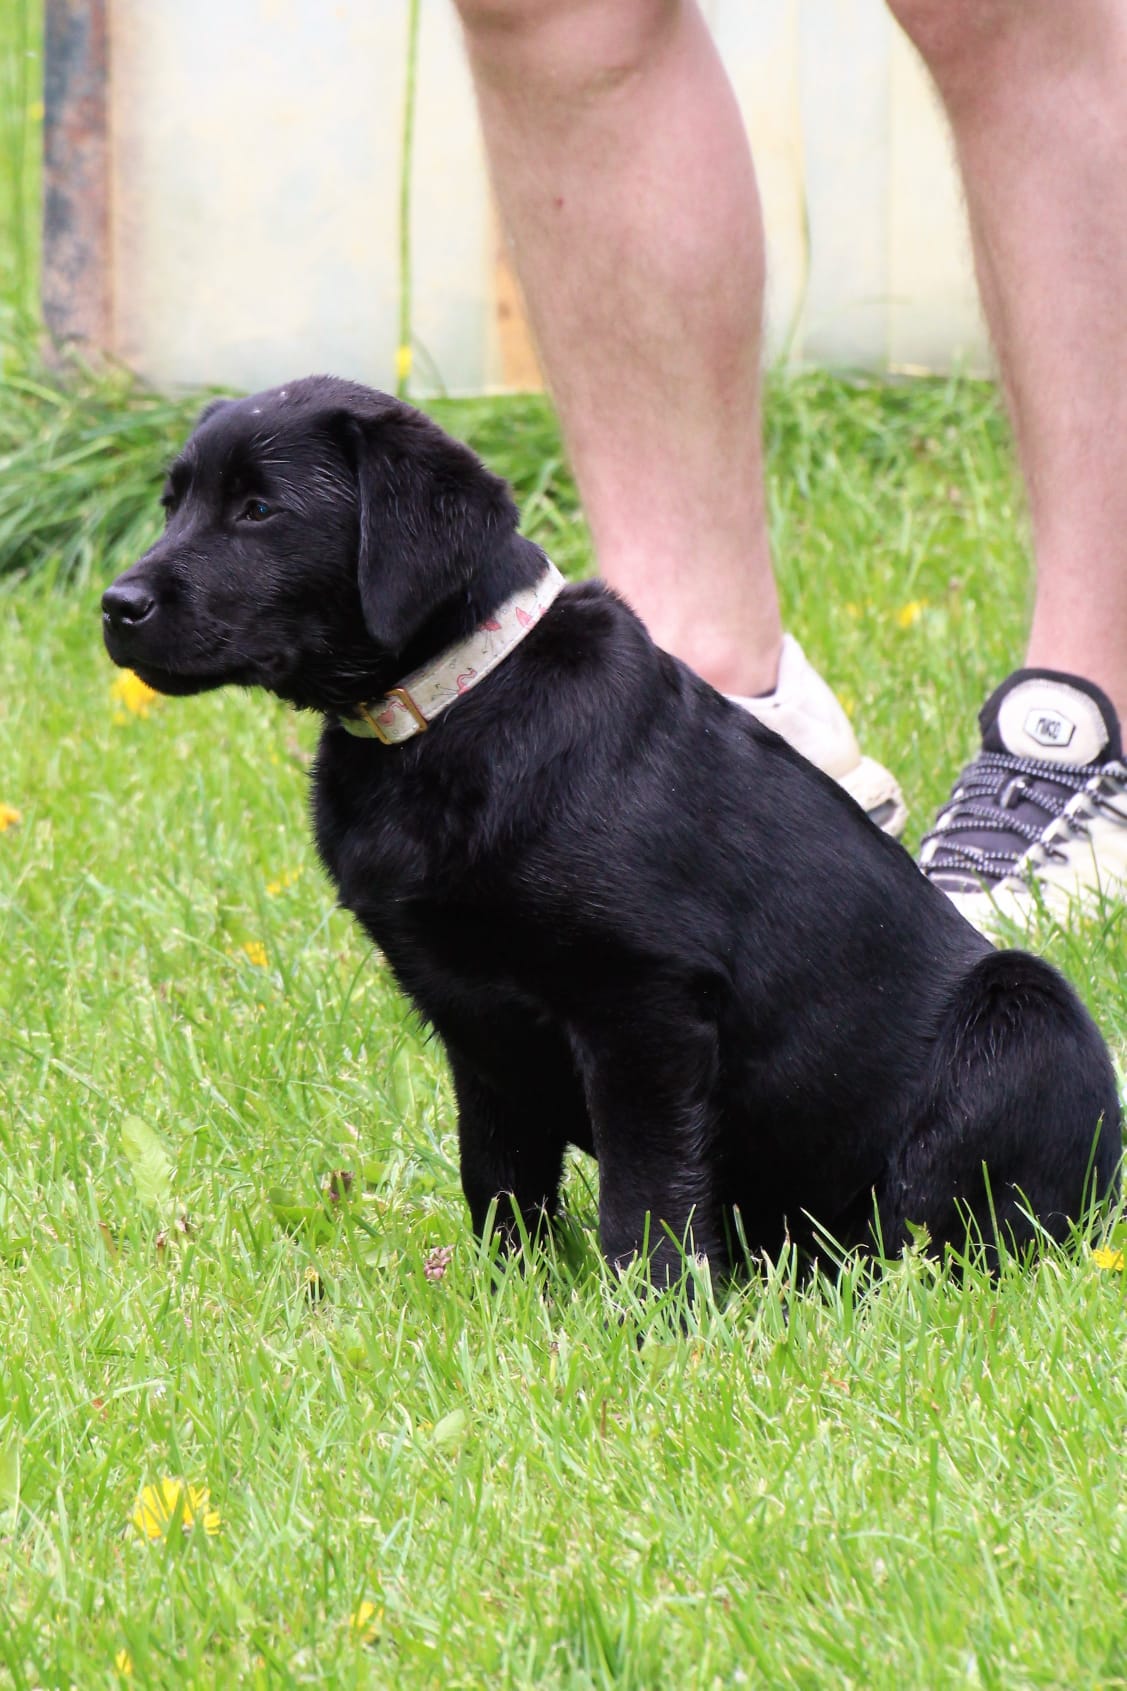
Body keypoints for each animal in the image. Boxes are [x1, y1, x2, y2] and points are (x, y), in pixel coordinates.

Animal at [103, 377, 1116, 1278]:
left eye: (260, 509)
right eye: (173, 504)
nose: (117, 606)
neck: (452, 706)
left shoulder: (645, 1004)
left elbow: (649, 1189)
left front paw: (653, 1316)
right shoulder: (477, 1026)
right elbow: (497, 1173)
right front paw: (507, 1290)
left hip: (1023, 1013)